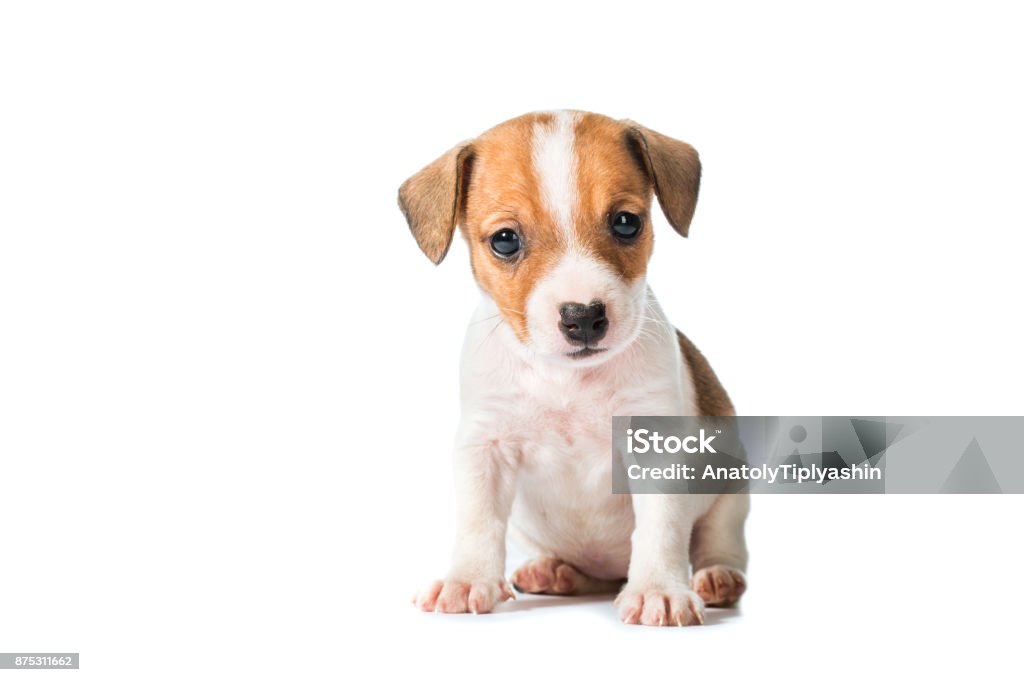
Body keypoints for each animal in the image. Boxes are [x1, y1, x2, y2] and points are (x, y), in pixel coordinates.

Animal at [397, 111, 745, 626]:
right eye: (505, 240)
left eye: (626, 223)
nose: (583, 317)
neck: (568, 381)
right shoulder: (485, 447)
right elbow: (479, 521)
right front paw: (467, 578)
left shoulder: (656, 448)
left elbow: (660, 526)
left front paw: (658, 589)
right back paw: (553, 570)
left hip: (729, 497)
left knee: (718, 542)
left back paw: (717, 577)